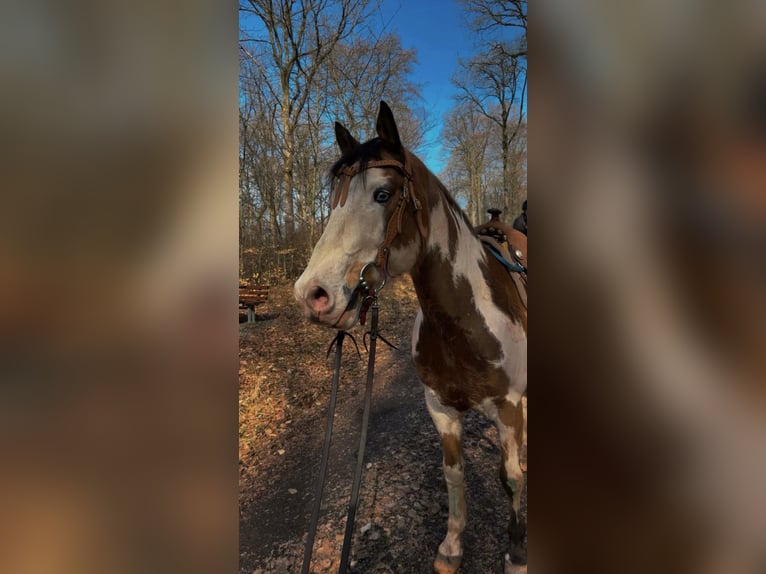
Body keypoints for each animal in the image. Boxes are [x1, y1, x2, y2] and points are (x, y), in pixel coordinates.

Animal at [294, 101, 527, 574]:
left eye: (383, 195)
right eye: (334, 198)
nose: (312, 294)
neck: (466, 328)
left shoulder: (510, 410)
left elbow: (510, 480)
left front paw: (516, 554)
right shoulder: (440, 408)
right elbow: (454, 473)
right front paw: (451, 547)